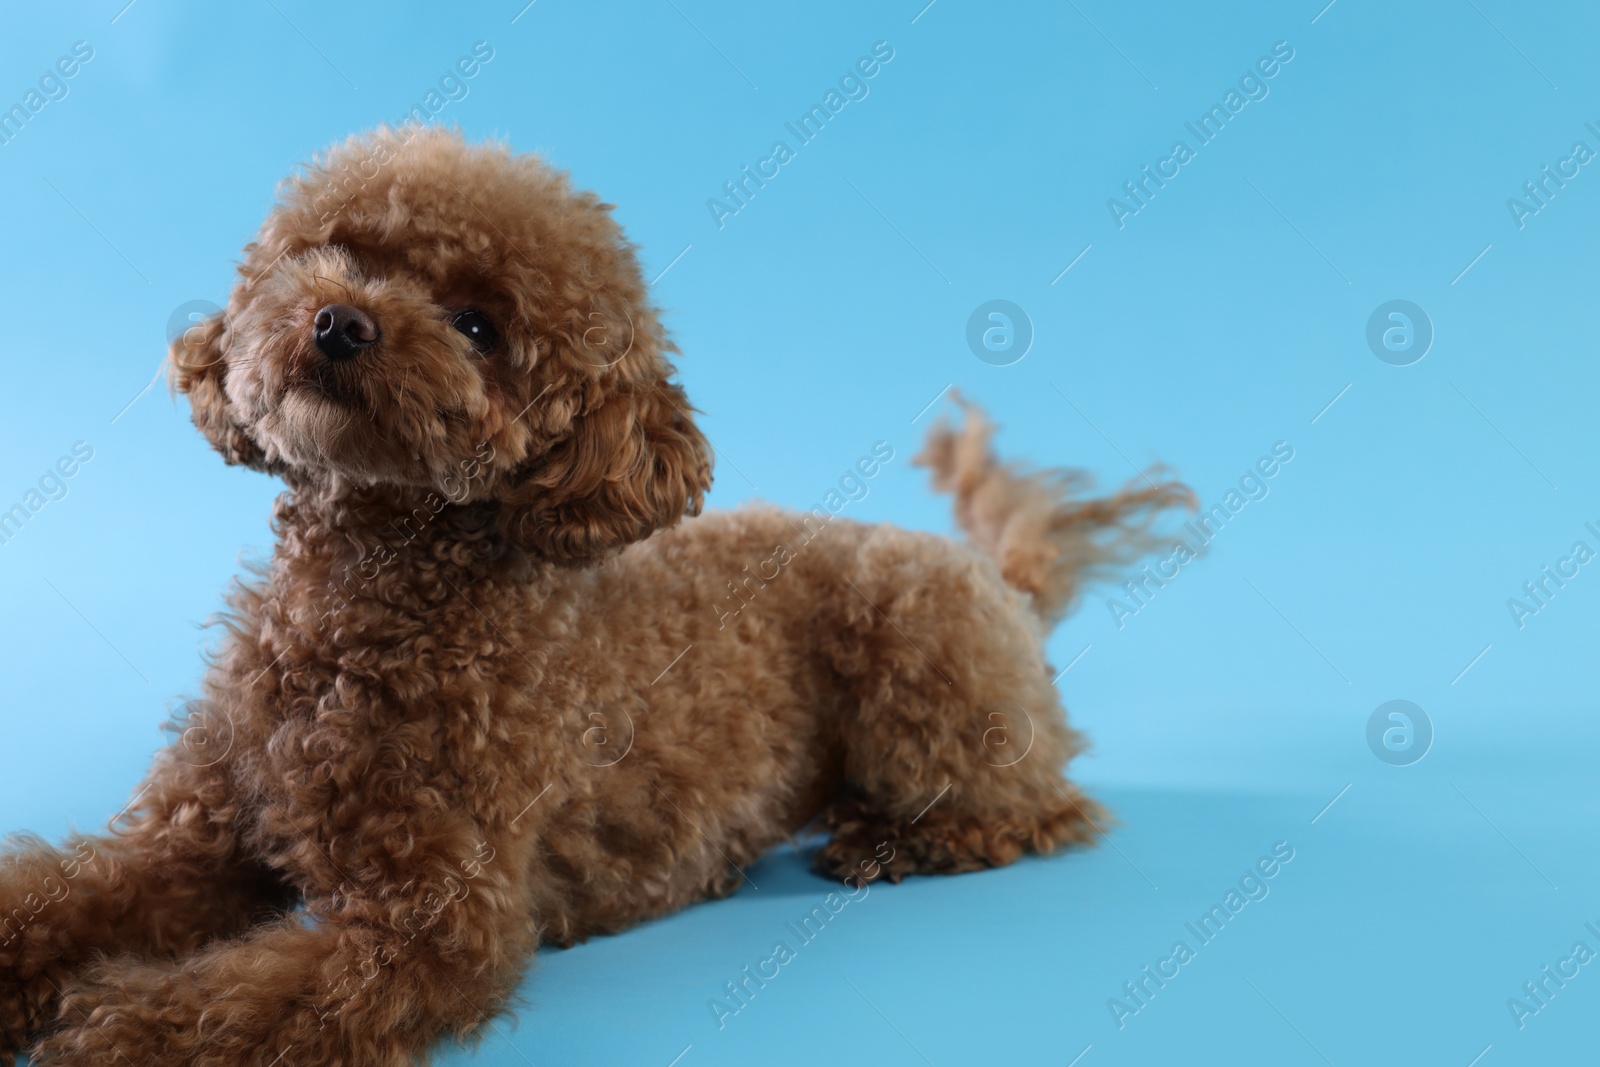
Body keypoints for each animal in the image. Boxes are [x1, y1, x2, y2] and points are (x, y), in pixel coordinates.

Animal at [0, 127, 1190, 1067]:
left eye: (477, 323)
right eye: (336, 251)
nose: (340, 320)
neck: (363, 604)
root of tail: (995, 577)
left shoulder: (425, 927)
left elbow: (237, 1001)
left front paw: (108, 1025)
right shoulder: (194, 837)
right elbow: (66, 890)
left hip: (918, 657)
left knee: (1040, 807)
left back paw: (892, 841)